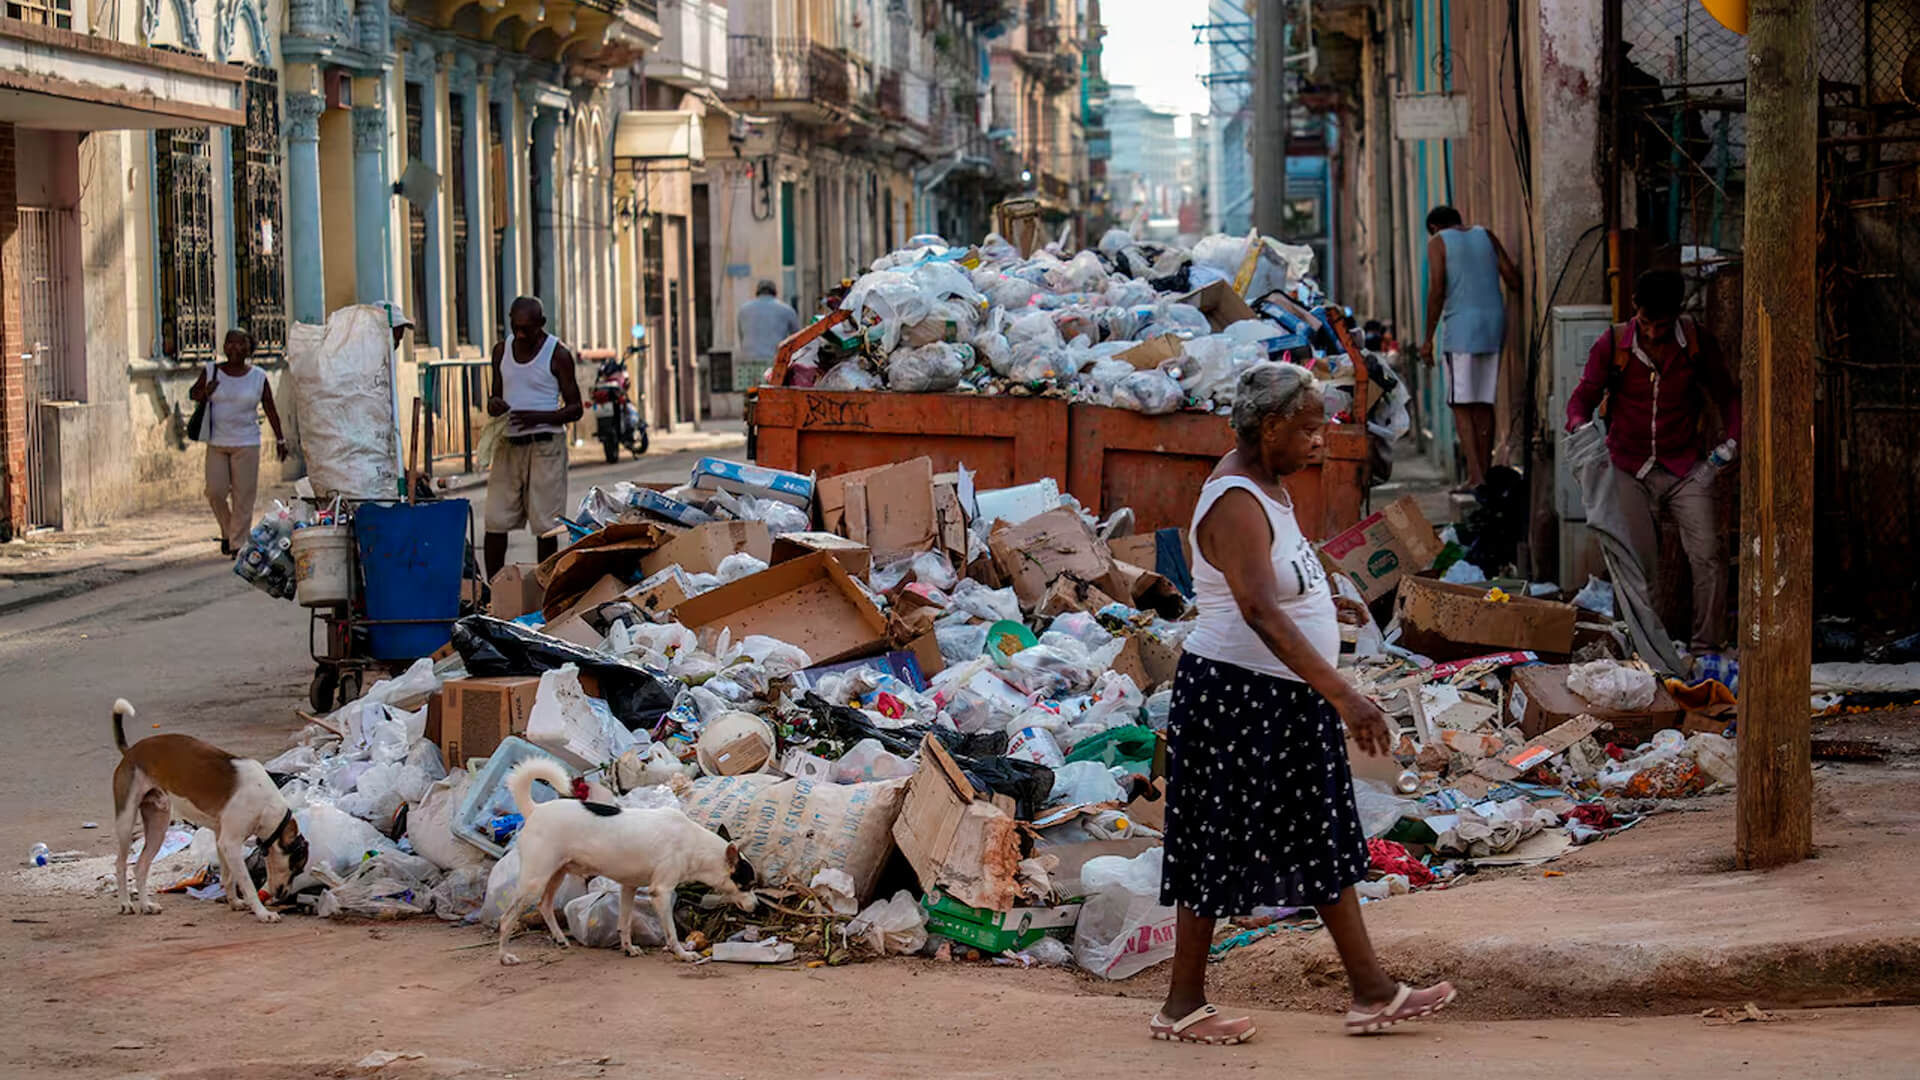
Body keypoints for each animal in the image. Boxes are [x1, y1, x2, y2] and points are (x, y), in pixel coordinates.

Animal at [110, 699, 305, 914]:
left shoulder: (222, 840)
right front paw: (263, 914)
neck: (267, 806)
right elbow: (247, 883)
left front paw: (234, 902)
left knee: (141, 866)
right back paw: (125, 903)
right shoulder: (230, 844)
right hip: (126, 821)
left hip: (158, 824)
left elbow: (228, 877)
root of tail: (130, 751)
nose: (284, 895)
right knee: (120, 864)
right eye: (297, 868)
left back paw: (145, 905)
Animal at [495, 753, 756, 960]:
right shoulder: (661, 893)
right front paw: (682, 953)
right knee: (506, 919)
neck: (694, 844)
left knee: (545, 905)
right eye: (746, 885)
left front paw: (628, 948)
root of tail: (535, 810)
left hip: (556, 873)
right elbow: (671, 932)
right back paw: (505, 956)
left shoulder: (628, 887)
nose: (756, 906)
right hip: (535, 880)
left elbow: (625, 923)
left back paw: (560, 938)